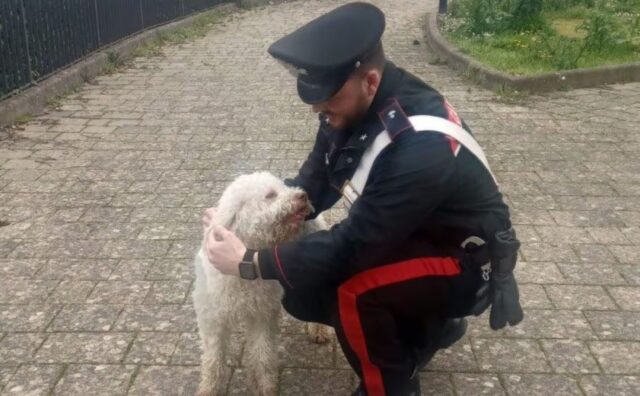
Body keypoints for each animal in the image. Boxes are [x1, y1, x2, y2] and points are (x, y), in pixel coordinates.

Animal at [191, 172, 330, 396]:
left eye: (283, 188)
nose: (303, 195)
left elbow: (262, 355)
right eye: (271, 195)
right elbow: (214, 361)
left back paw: (319, 330)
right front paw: (209, 389)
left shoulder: (261, 315)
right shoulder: (213, 319)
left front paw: (265, 387)